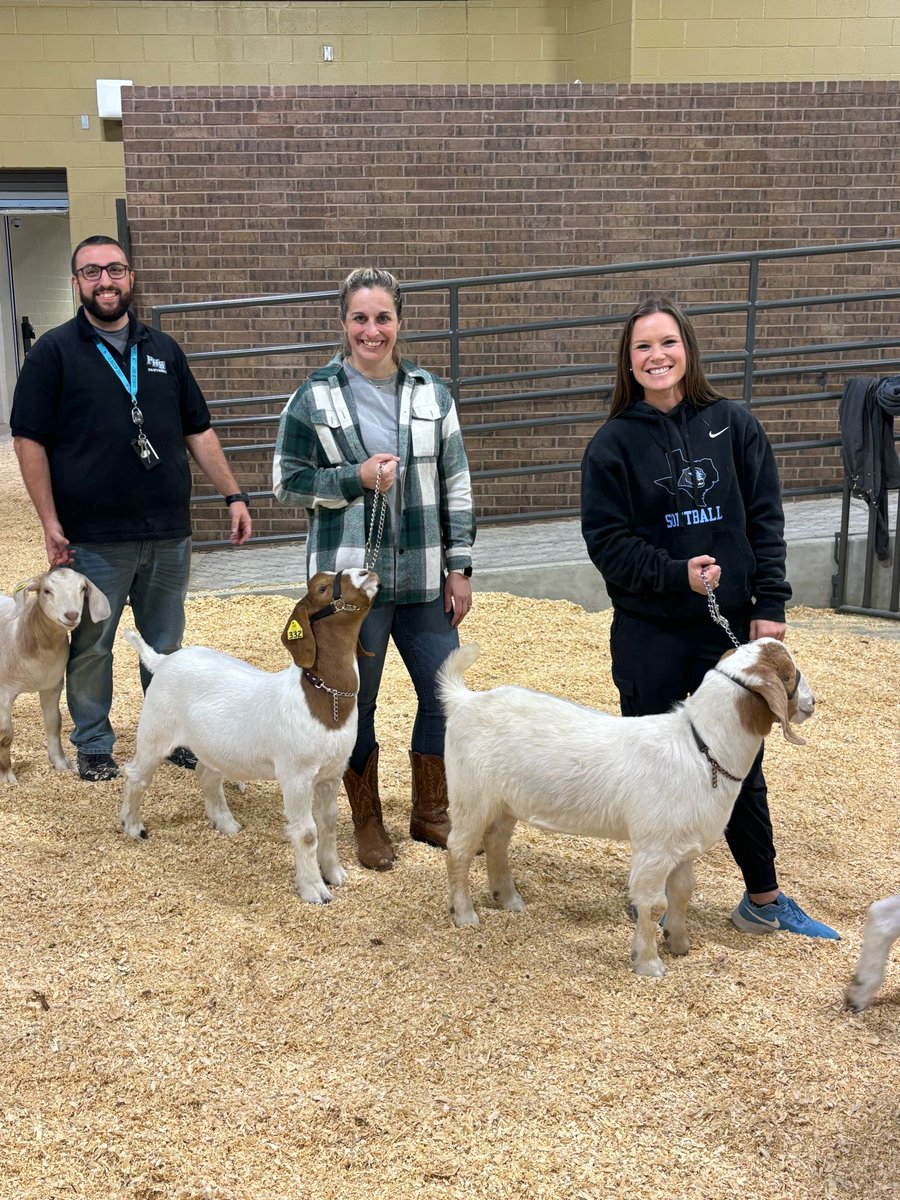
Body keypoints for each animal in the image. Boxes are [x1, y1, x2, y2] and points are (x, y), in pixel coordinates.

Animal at [0, 566, 112, 782]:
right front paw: (6, 775)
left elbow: (54, 723)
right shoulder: (3, 693)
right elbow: (5, 734)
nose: (71, 614)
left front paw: (60, 762)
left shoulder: (52, 685)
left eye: (82, 589)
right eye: (46, 591)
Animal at [118, 568, 379, 902]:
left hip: (211, 745)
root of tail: (162, 661)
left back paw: (225, 823)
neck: (321, 698)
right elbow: (307, 832)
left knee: (207, 774)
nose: (366, 572)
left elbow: (329, 823)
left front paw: (335, 874)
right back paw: (133, 826)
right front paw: (314, 890)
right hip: (155, 730)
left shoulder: (332, 773)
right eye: (322, 587)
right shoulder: (296, 775)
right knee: (136, 774)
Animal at [439, 638, 816, 974]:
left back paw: (508, 899)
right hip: (471, 795)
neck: (701, 748)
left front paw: (679, 943)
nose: (813, 701)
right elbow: (653, 904)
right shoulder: (654, 847)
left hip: (505, 803)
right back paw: (465, 914)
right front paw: (648, 963)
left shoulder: (683, 845)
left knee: (495, 841)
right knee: (459, 849)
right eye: (789, 674)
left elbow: (683, 892)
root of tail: (466, 701)